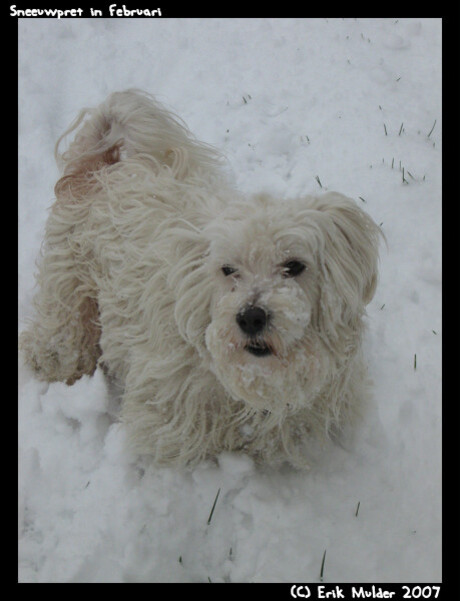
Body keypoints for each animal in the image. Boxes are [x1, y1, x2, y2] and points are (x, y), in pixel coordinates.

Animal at [18, 90, 380, 468]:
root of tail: (104, 169)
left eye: (294, 266)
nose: (251, 317)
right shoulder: (166, 428)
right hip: (68, 304)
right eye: (228, 269)